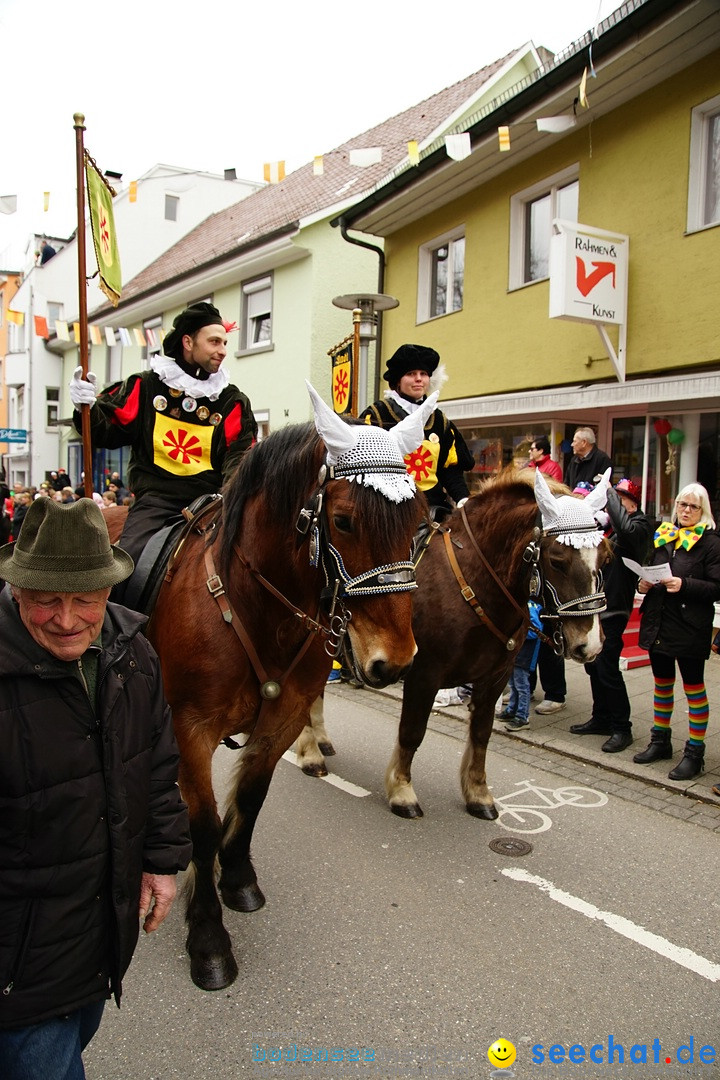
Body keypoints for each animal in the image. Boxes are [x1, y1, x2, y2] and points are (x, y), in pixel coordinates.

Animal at [144, 384, 436, 989]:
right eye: (343, 520)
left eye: (420, 521)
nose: (394, 662)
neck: (256, 608)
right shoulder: (189, 730)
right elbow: (203, 826)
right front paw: (207, 936)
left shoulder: (284, 717)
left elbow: (251, 799)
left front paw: (237, 880)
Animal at [295, 470, 613, 816]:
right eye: (557, 560)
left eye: (605, 558)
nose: (590, 644)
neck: (473, 584)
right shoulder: (424, 675)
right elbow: (412, 733)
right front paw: (402, 790)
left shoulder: (495, 678)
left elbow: (481, 734)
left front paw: (478, 793)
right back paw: (310, 752)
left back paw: (320, 740)